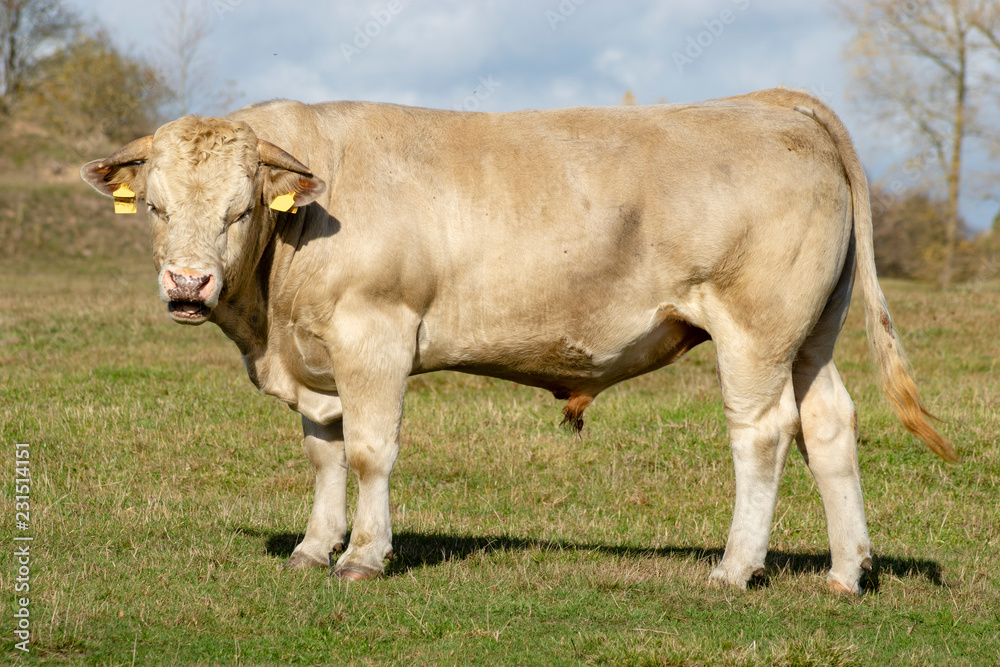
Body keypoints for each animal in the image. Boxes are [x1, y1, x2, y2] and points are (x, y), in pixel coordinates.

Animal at [82, 88, 956, 596]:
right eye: (156, 206)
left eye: (239, 210)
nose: (187, 283)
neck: (270, 319)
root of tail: (772, 104)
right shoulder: (315, 356)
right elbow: (324, 453)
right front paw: (312, 546)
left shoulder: (375, 333)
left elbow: (367, 451)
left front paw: (363, 554)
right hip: (810, 334)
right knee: (829, 424)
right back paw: (846, 570)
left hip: (755, 331)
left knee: (764, 434)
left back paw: (736, 567)